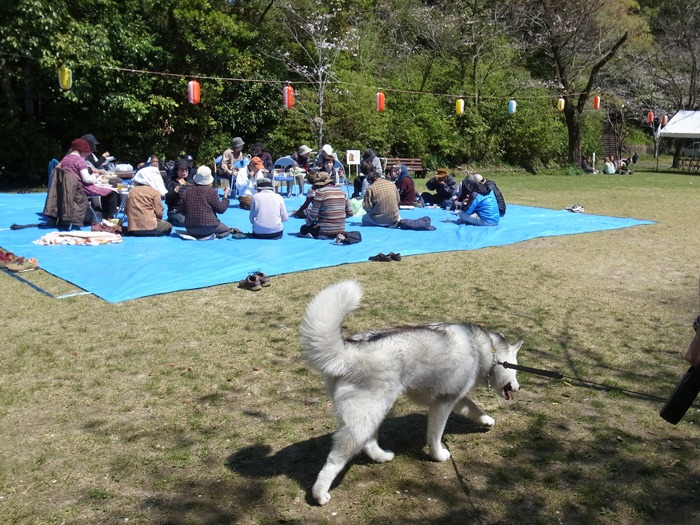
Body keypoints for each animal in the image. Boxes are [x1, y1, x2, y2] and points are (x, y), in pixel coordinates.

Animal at [298, 278, 524, 504]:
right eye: (515, 370)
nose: (518, 387)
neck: (484, 350)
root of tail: (349, 350)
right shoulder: (443, 403)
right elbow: (435, 435)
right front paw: (438, 455)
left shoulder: (455, 397)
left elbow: (473, 407)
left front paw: (486, 420)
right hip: (367, 414)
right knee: (335, 459)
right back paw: (320, 494)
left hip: (374, 412)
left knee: (368, 443)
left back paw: (382, 457)